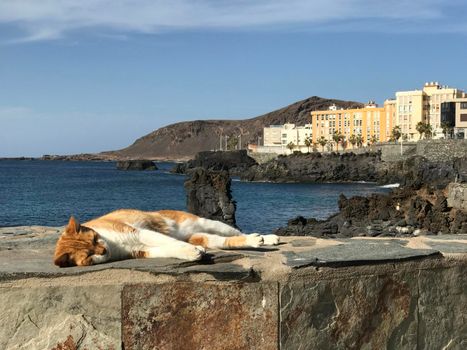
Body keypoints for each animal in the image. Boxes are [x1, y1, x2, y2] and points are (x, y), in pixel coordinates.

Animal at [53, 208, 280, 268]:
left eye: (94, 239)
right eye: (89, 256)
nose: (103, 250)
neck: (114, 245)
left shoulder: (140, 232)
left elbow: (170, 242)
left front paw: (190, 251)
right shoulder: (143, 251)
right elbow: (169, 248)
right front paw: (191, 253)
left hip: (209, 223)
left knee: (238, 232)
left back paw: (264, 238)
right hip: (203, 235)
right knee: (225, 241)